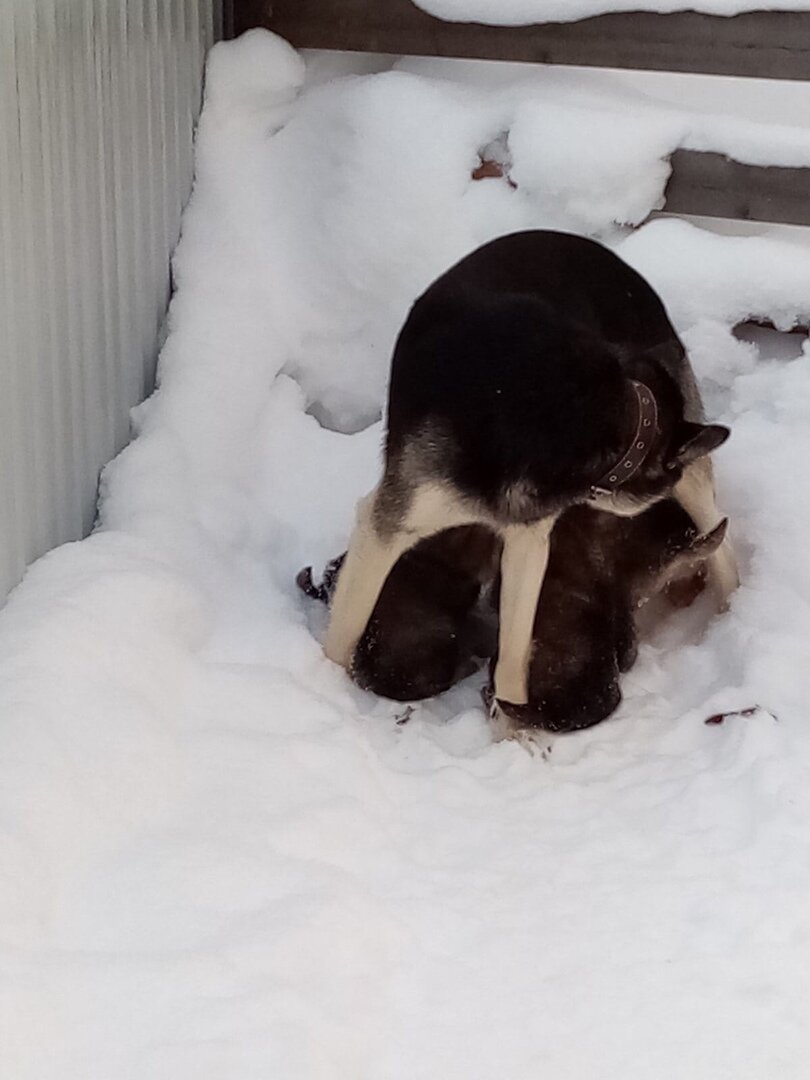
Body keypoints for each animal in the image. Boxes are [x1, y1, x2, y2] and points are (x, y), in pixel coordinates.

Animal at [324, 231, 736, 708]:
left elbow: (513, 660)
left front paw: (511, 719)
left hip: (696, 490)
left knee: (724, 549)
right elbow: (342, 634)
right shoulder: (388, 528)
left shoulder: (528, 539)